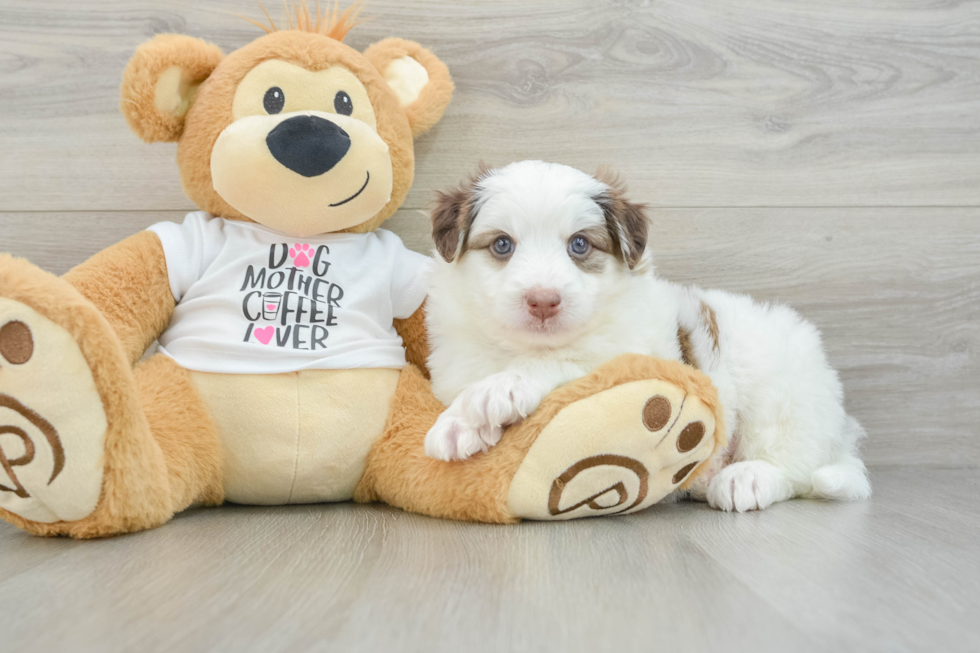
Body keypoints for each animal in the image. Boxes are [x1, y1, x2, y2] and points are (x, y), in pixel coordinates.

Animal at [424, 160, 868, 512]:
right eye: (502, 244)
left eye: (579, 245)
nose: (543, 301)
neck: (521, 346)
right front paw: (462, 425)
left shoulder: (629, 357)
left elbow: (563, 363)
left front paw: (496, 392)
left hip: (784, 392)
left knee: (793, 466)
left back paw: (746, 477)